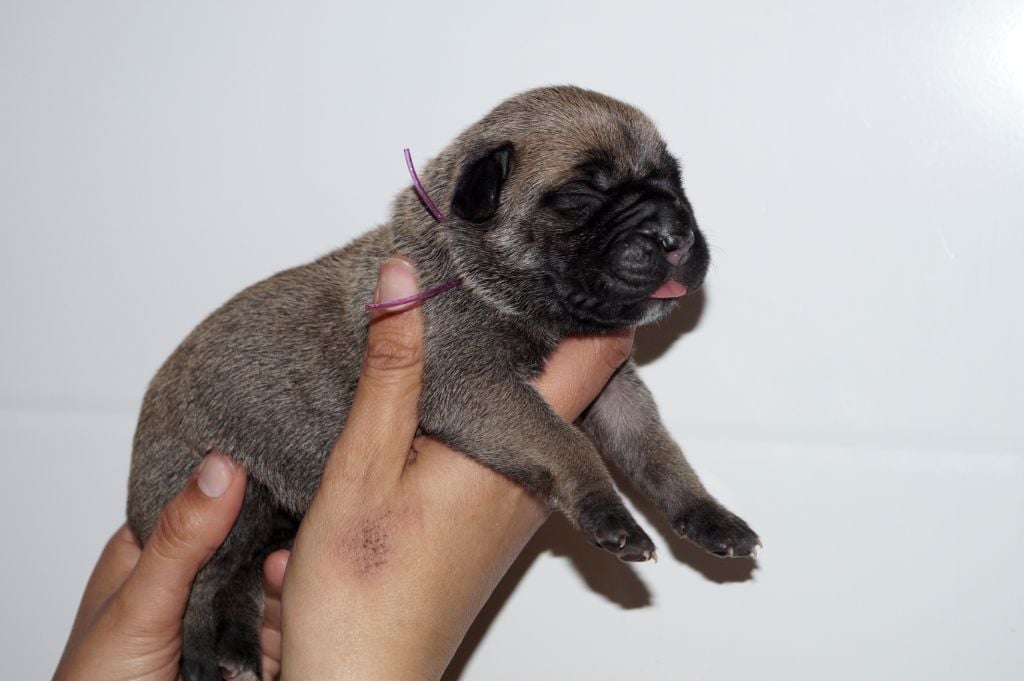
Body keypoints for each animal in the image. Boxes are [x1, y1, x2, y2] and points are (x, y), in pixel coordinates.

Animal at [125, 86, 761, 679]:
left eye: (675, 184)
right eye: (583, 196)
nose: (674, 231)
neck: (474, 273)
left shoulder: (615, 393)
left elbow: (655, 451)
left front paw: (707, 514)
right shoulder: (477, 387)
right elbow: (565, 443)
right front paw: (608, 512)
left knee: (238, 582)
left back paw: (237, 652)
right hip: (225, 499)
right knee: (200, 589)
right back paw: (201, 660)